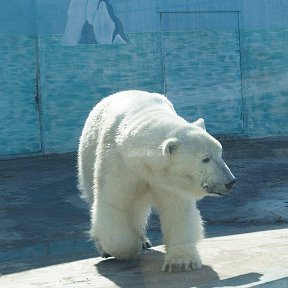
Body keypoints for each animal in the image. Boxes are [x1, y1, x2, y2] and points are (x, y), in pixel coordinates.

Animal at [77, 90, 235, 272]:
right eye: (206, 159)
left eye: (220, 152)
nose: (230, 181)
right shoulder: (118, 161)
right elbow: (115, 204)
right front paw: (124, 247)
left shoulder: (168, 180)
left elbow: (176, 209)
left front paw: (181, 262)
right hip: (87, 158)